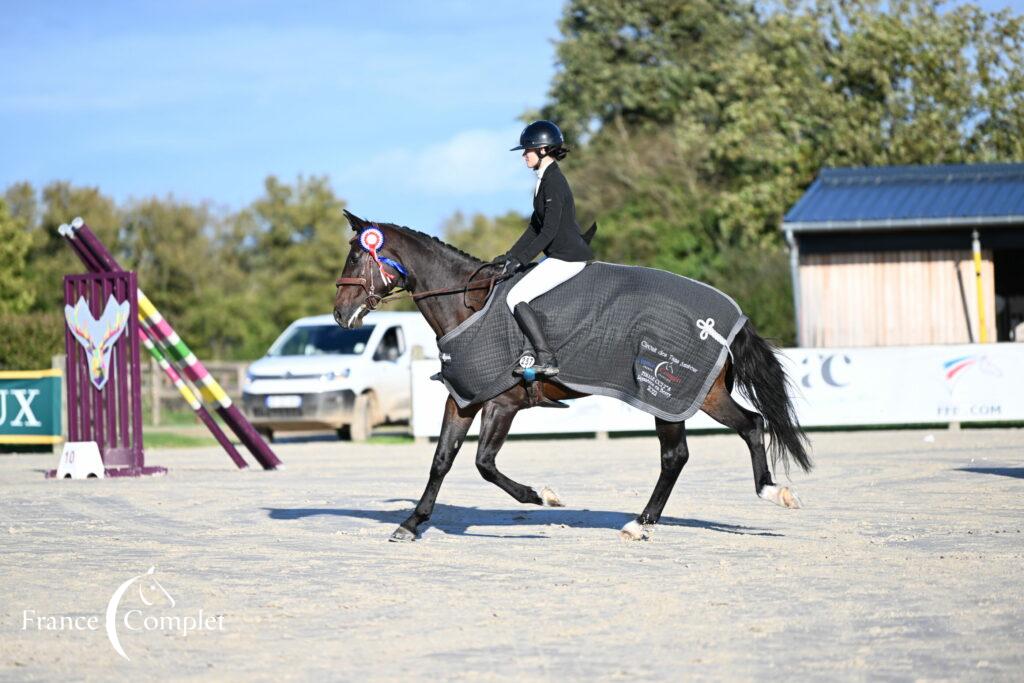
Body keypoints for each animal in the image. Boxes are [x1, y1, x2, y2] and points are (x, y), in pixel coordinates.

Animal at [331, 210, 811, 540]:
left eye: (355, 256)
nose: (339, 314)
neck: (467, 303)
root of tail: (728, 321)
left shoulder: (502, 403)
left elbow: (484, 463)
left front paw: (542, 496)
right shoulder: (465, 397)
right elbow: (442, 460)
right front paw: (411, 523)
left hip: (675, 394)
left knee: (689, 450)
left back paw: (647, 521)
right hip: (697, 396)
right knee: (742, 429)